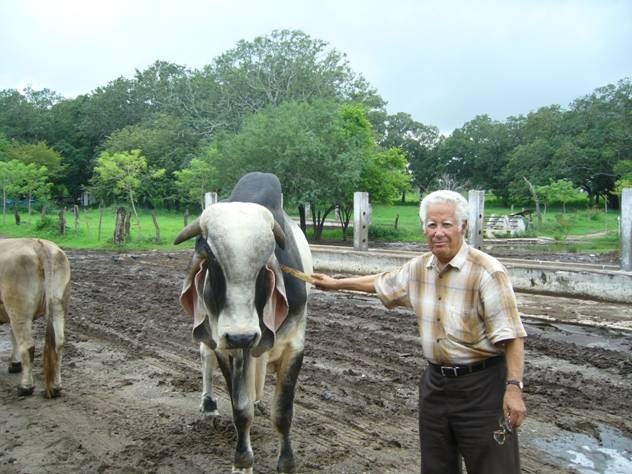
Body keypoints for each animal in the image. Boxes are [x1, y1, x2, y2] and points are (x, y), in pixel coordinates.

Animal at [0, 237, 71, 396]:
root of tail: (37, 243)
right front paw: (15, 364)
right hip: (58, 304)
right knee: (59, 343)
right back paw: (56, 387)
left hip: (19, 309)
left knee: (27, 346)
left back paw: (25, 387)